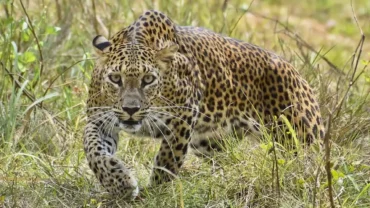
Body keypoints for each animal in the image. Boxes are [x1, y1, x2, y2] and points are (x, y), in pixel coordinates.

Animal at [83, 10, 324, 198]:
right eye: (115, 78)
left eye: (148, 79)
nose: (130, 110)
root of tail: (298, 74)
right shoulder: (99, 119)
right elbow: (93, 150)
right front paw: (120, 183)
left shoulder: (182, 118)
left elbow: (167, 161)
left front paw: (154, 193)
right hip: (210, 142)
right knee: (228, 160)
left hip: (301, 138)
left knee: (312, 165)